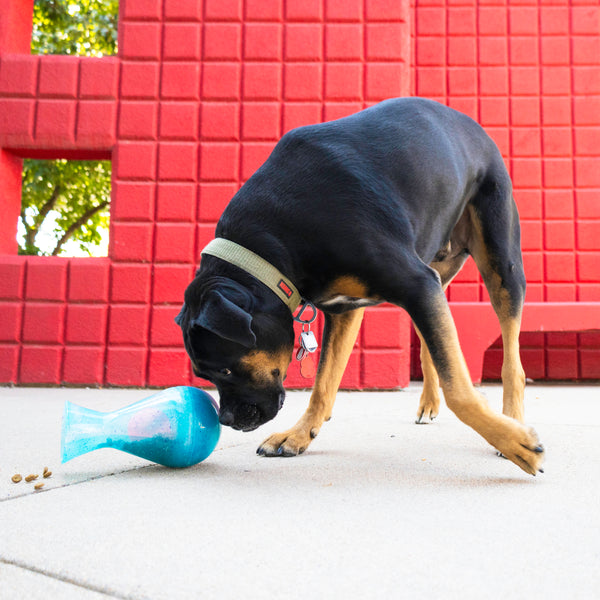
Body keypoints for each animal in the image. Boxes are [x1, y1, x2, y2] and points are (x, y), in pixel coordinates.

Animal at [177, 97, 544, 474]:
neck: (270, 245)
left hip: (501, 263)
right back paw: (429, 402)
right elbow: (324, 383)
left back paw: (513, 419)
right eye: (204, 373)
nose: (226, 421)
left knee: (512, 360)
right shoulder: (349, 308)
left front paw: (515, 442)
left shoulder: (416, 284)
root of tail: (471, 123)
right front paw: (299, 435)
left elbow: (458, 388)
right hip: (435, 275)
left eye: (225, 367)